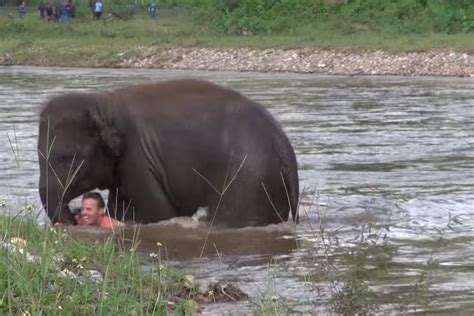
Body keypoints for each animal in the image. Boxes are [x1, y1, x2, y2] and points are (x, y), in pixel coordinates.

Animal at [37, 79, 298, 227]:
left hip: (249, 181)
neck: (104, 103)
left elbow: (157, 211)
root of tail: (283, 144)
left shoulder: (140, 160)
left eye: (71, 159)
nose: (75, 216)